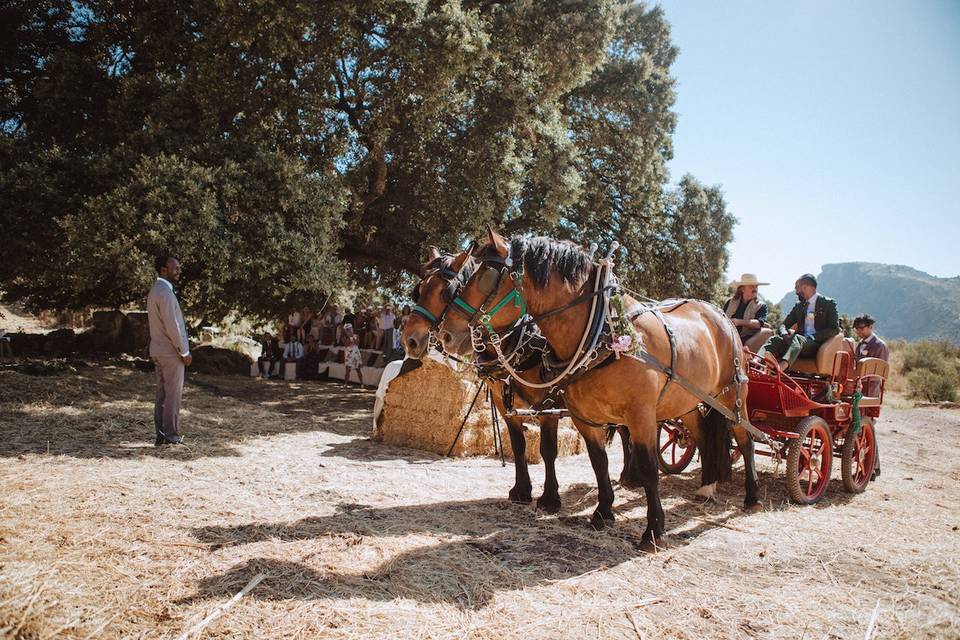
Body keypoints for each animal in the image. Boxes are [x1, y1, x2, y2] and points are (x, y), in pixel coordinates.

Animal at [438, 230, 760, 552]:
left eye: (486, 276)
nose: (446, 334)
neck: (601, 333)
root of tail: (718, 314)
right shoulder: (584, 418)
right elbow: (598, 462)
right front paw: (603, 512)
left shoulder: (641, 416)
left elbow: (649, 469)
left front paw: (653, 530)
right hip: (688, 401)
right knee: (703, 435)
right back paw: (707, 486)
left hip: (734, 397)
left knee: (744, 440)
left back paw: (752, 496)